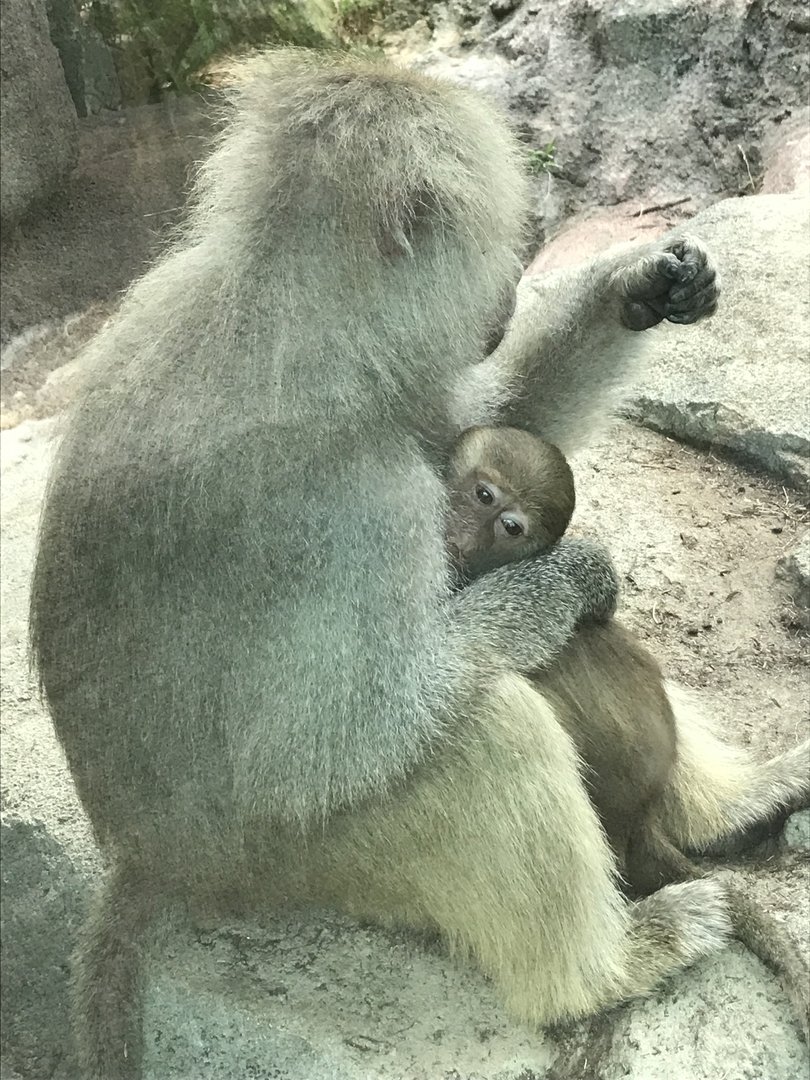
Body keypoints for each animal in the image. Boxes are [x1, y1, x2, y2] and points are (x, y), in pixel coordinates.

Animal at [26, 48, 808, 1079]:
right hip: (295, 866)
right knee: (482, 727)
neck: (291, 314)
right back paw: (608, 968)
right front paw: (558, 587)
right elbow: (336, 737)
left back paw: (734, 807)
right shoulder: (349, 507)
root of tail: (147, 857)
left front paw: (638, 285)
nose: (512, 286)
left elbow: (498, 422)